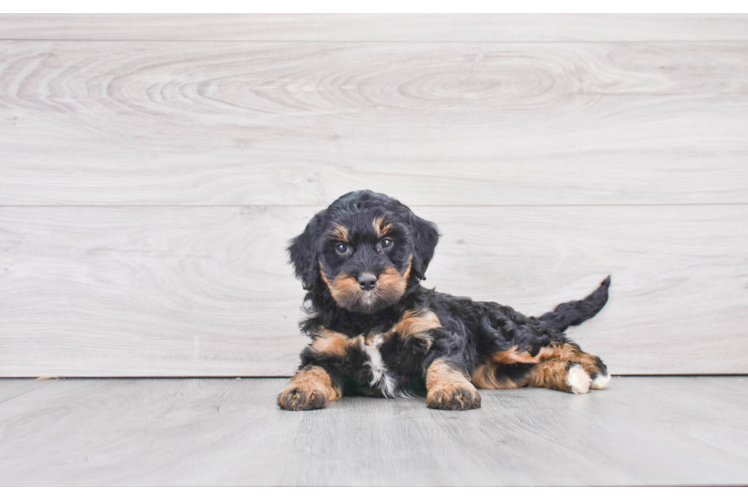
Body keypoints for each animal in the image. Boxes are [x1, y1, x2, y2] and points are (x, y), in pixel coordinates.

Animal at [278, 190, 612, 410]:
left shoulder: (435, 334)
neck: (371, 318)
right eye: (341, 248)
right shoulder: (325, 348)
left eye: (387, 243)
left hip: (503, 337)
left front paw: (452, 390)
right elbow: (313, 368)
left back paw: (593, 369)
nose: (368, 280)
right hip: (494, 371)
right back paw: (572, 375)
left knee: (553, 343)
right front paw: (299, 390)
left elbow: (444, 364)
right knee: (528, 371)